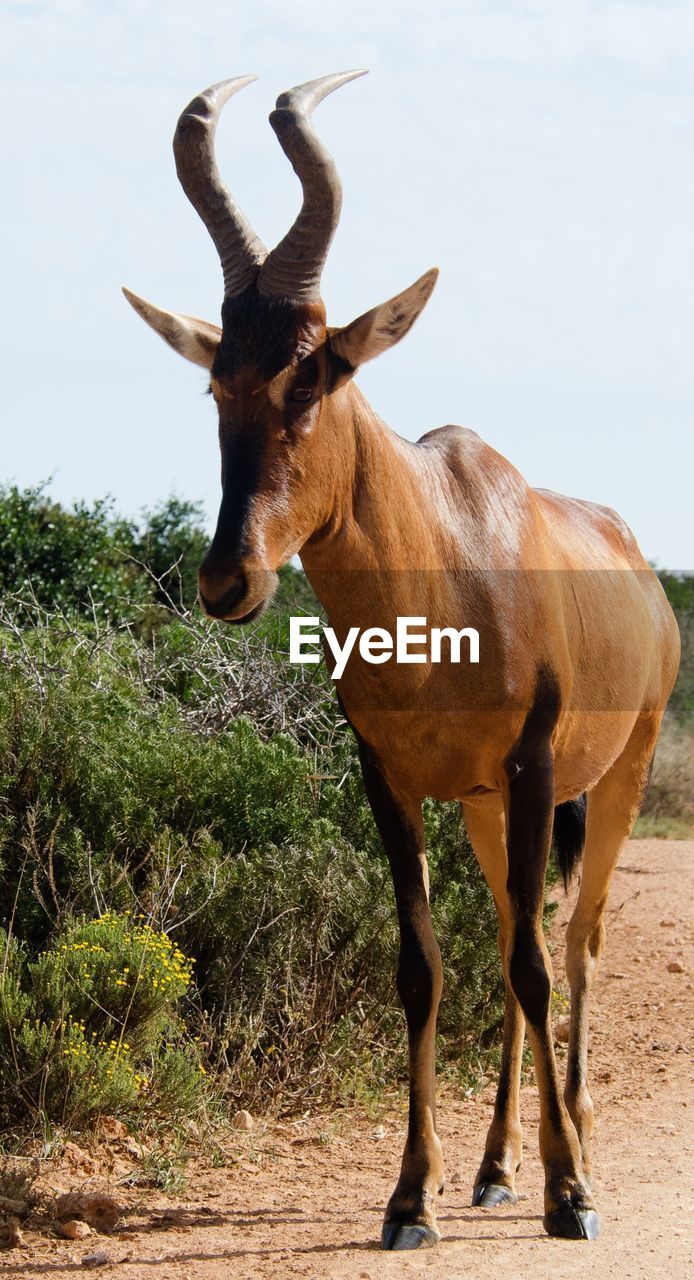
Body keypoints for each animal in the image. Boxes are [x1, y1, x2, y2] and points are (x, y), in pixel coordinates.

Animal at [125, 70, 681, 1249]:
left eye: (313, 375)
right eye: (216, 382)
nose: (227, 580)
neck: (452, 542)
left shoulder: (532, 766)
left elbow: (532, 963)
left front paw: (572, 1196)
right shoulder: (391, 779)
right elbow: (424, 967)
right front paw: (412, 1195)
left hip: (612, 773)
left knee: (573, 943)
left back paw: (576, 1152)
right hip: (482, 808)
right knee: (519, 930)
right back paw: (497, 1166)